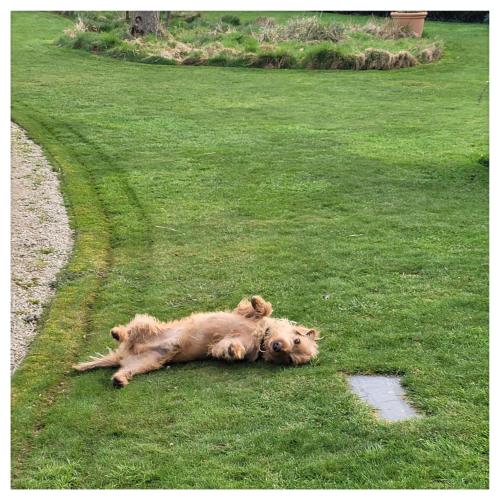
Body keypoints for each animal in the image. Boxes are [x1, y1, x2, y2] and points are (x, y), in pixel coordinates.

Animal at [72, 294, 318, 388]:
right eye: (297, 341)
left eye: (290, 359)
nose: (278, 347)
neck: (261, 338)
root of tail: (123, 355)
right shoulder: (245, 315)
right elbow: (262, 308)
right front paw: (258, 301)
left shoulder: (231, 344)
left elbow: (227, 348)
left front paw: (234, 350)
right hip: (148, 326)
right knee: (131, 329)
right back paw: (118, 332)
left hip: (145, 363)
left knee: (124, 369)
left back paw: (119, 379)